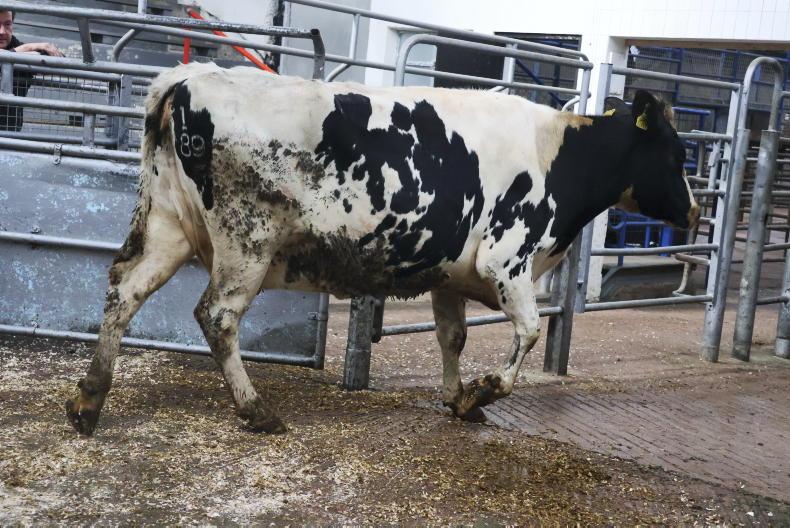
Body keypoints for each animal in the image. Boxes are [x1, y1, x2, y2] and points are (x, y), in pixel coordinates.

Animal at [65, 62, 699, 435]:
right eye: (676, 154)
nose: (694, 212)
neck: (557, 153)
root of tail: (191, 76)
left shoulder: (451, 273)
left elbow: (452, 337)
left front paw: (456, 398)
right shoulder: (507, 260)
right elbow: (527, 333)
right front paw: (483, 392)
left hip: (169, 225)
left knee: (125, 289)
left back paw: (89, 400)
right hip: (247, 239)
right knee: (217, 315)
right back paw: (255, 410)